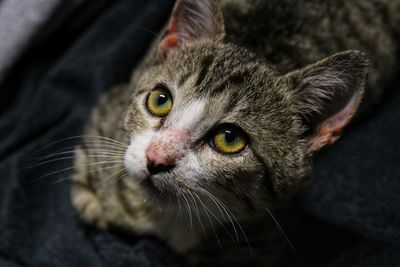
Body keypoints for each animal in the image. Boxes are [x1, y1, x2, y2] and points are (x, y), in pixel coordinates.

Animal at [70, 1, 400, 266]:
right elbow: (85, 197)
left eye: (229, 139)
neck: (172, 218)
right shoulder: (105, 121)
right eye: (160, 100)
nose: (156, 158)